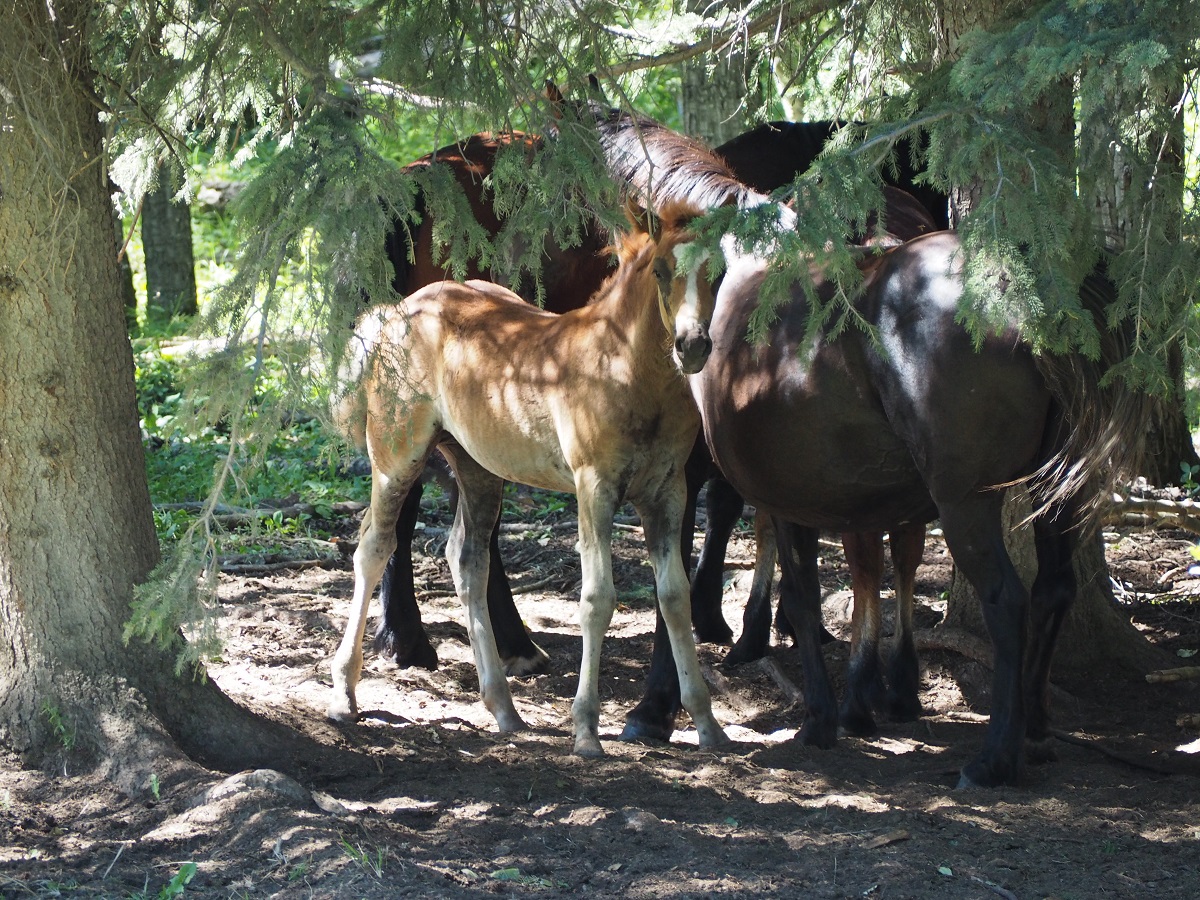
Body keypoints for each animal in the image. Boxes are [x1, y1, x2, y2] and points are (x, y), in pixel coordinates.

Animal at [327, 204, 728, 757]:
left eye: (721, 272)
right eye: (662, 271)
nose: (693, 346)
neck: (626, 371)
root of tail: (398, 312)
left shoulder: (669, 492)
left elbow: (674, 597)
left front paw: (708, 725)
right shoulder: (593, 487)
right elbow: (597, 599)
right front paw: (585, 731)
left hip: (478, 466)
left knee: (467, 558)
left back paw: (504, 708)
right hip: (396, 453)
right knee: (373, 545)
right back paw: (344, 694)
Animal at [625, 229, 1144, 787]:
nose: (690, 348)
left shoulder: (696, 479)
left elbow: (693, 589)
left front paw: (656, 708)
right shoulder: (798, 497)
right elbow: (809, 595)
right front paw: (828, 712)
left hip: (966, 503)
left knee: (1007, 599)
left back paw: (994, 757)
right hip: (1058, 495)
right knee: (1054, 590)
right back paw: (1035, 731)